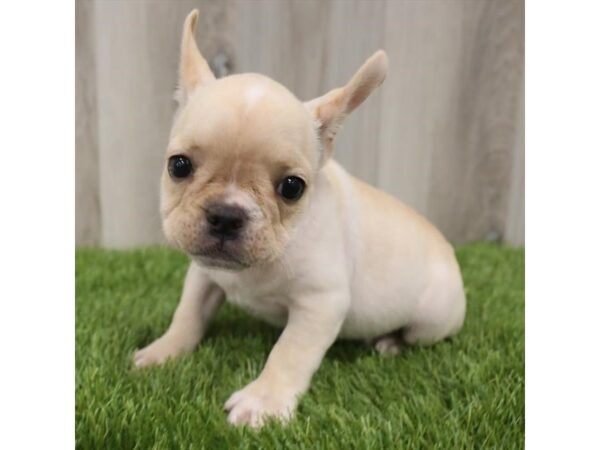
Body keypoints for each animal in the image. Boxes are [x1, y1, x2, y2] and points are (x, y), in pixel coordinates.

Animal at [134, 8, 466, 428]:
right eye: (178, 165)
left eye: (292, 187)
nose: (226, 215)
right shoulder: (203, 275)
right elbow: (188, 315)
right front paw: (165, 350)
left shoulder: (320, 303)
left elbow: (289, 352)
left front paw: (263, 402)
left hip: (432, 319)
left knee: (416, 335)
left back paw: (389, 342)